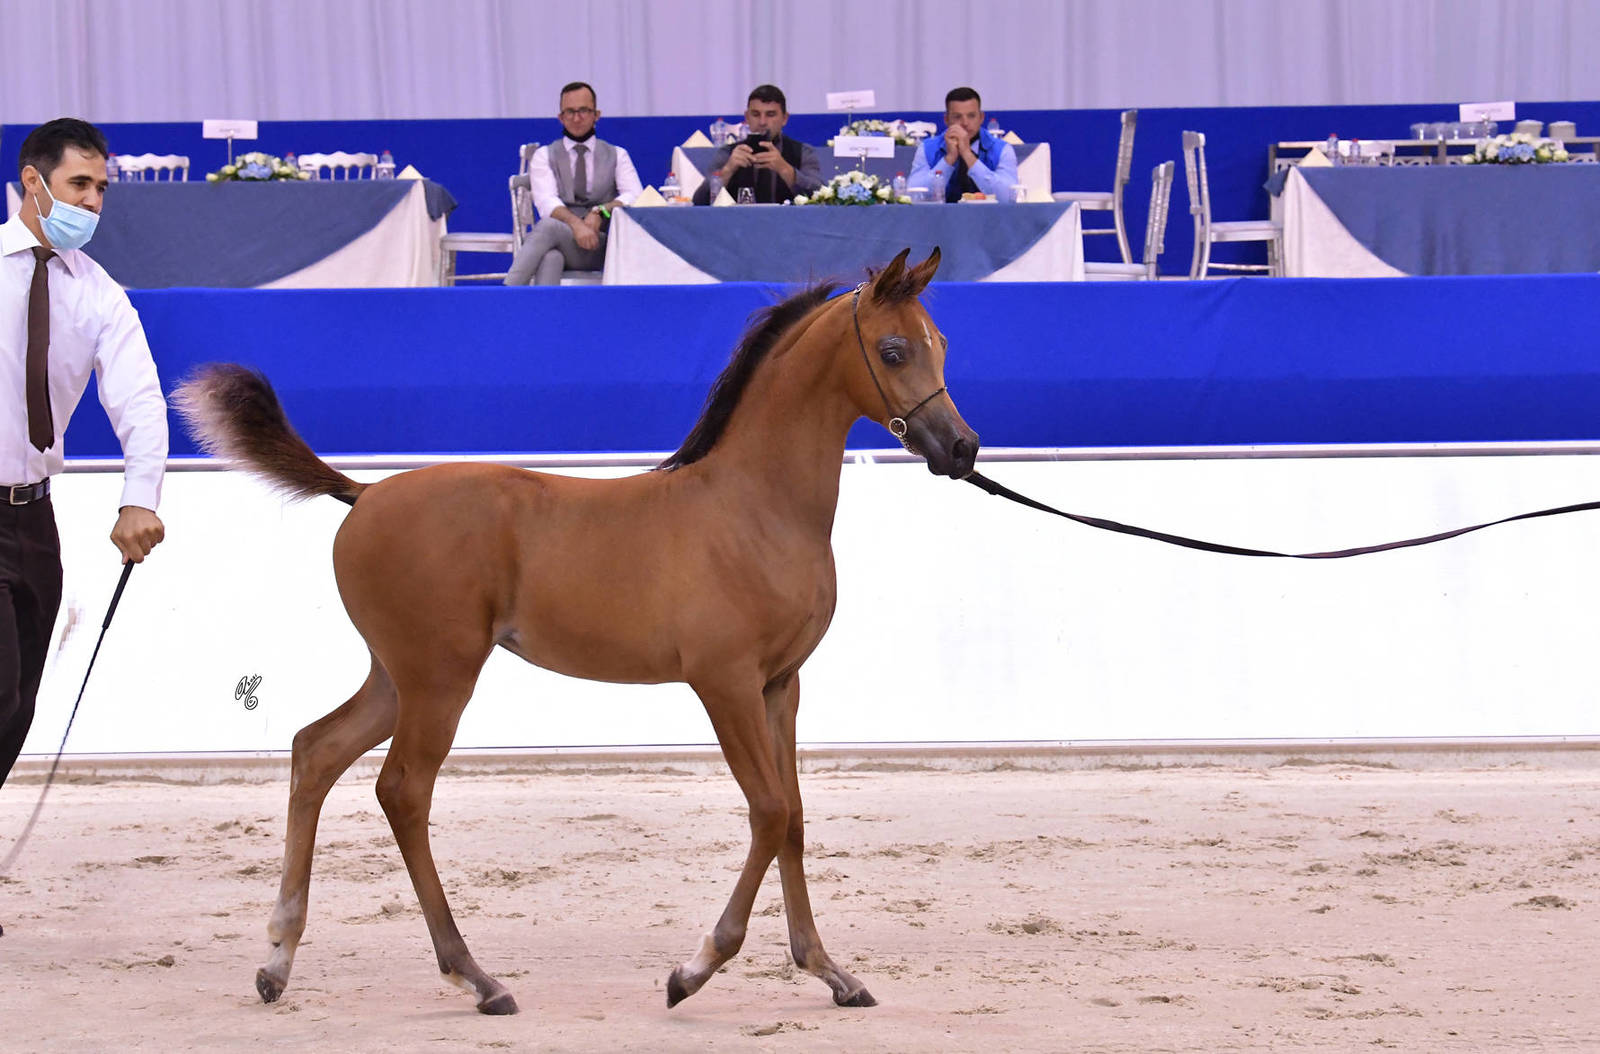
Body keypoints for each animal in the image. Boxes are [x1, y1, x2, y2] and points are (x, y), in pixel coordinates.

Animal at [173, 247, 978, 1016]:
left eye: (943, 342)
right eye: (894, 350)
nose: (962, 449)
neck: (754, 507)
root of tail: (362, 493)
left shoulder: (782, 685)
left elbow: (797, 819)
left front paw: (831, 972)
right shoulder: (725, 683)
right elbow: (770, 811)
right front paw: (692, 972)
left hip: (395, 678)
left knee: (315, 751)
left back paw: (278, 962)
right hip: (439, 679)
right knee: (402, 790)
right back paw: (477, 978)